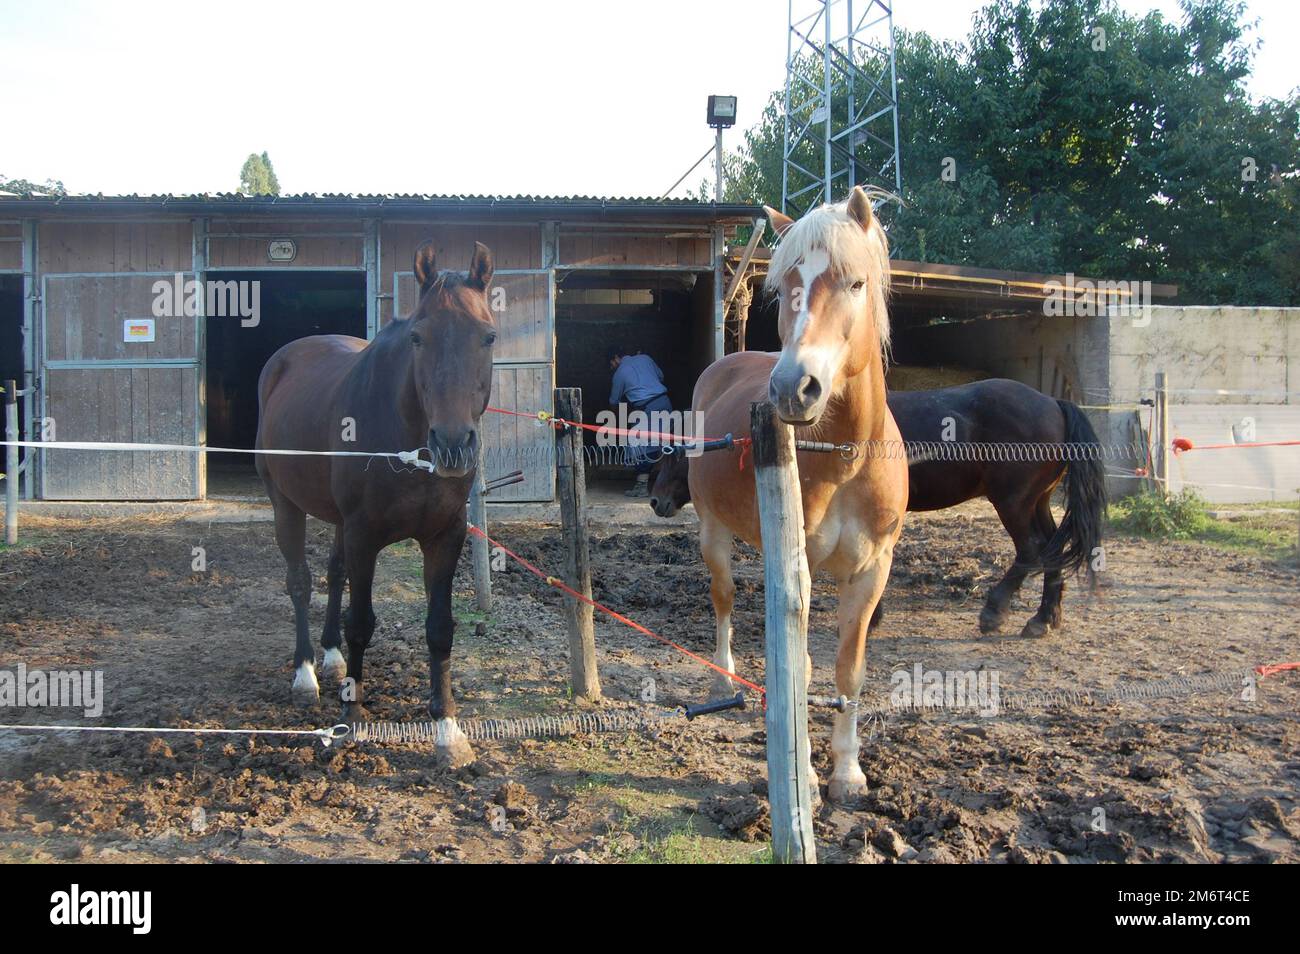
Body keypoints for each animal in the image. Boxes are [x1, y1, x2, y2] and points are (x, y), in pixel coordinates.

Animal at [254, 240, 496, 769]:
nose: (452, 443)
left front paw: (448, 731)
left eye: (488, 337)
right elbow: (361, 622)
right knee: (301, 582)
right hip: (285, 503)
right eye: (418, 338)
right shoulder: (364, 533)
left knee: (334, 572)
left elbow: (440, 628)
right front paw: (352, 718)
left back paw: (330, 656)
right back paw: (305, 674)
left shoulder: (444, 536)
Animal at [650, 376, 1107, 639]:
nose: (656, 501)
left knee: (1031, 551)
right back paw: (1044, 619)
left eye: (676, 453)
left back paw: (995, 612)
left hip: (1012, 502)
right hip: (1036, 501)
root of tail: (1053, 403)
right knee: (1051, 549)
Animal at [691, 183, 904, 805]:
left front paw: (848, 772)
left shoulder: (873, 570)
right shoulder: (798, 565)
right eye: (786, 285)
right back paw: (723, 681)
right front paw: (804, 775)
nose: (793, 386)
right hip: (713, 534)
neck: (847, 459)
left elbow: (848, 669)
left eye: (855, 283)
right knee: (723, 601)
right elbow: (801, 667)